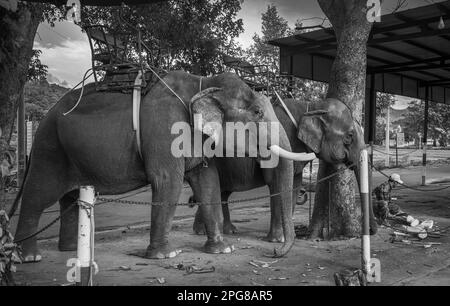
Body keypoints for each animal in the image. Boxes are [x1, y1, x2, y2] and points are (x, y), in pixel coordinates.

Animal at [9, 70, 310, 262]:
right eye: (257, 112)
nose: (271, 253)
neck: (204, 81)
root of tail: (42, 119)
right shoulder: (165, 130)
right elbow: (169, 182)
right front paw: (167, 255)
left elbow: (208, 182)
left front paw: (223, 250)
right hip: (49, 148)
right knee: (38, 194)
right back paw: (29, 257)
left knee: (69, 198)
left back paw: (71, 250)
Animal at [192, 97, 378, 238]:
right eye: (349, 136)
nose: (370, 231)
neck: (310, 106)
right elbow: (276, 183)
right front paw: (278, 239)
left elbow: (294, 185)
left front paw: (287, 235)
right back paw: (204, 232)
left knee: (221, 191)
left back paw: (223, 231)